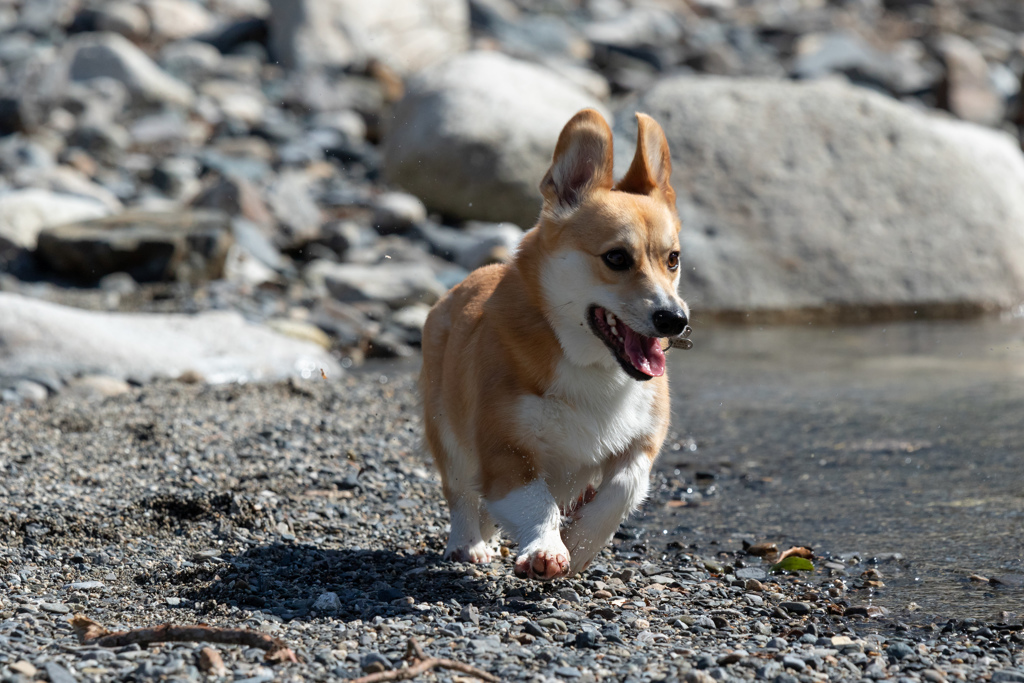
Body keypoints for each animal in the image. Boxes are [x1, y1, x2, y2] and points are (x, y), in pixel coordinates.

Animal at [415, 109, 688, 581]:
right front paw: (548, 547)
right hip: (447, 432)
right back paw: (469, 544)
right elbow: (535, 502)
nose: (675, 319)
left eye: (672, 259)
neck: (593, 366)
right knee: (462, 493)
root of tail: (462, 283)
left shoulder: (641, 442)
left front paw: (580, 544)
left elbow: (623, 488)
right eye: (617, 258)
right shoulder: (505, 453)